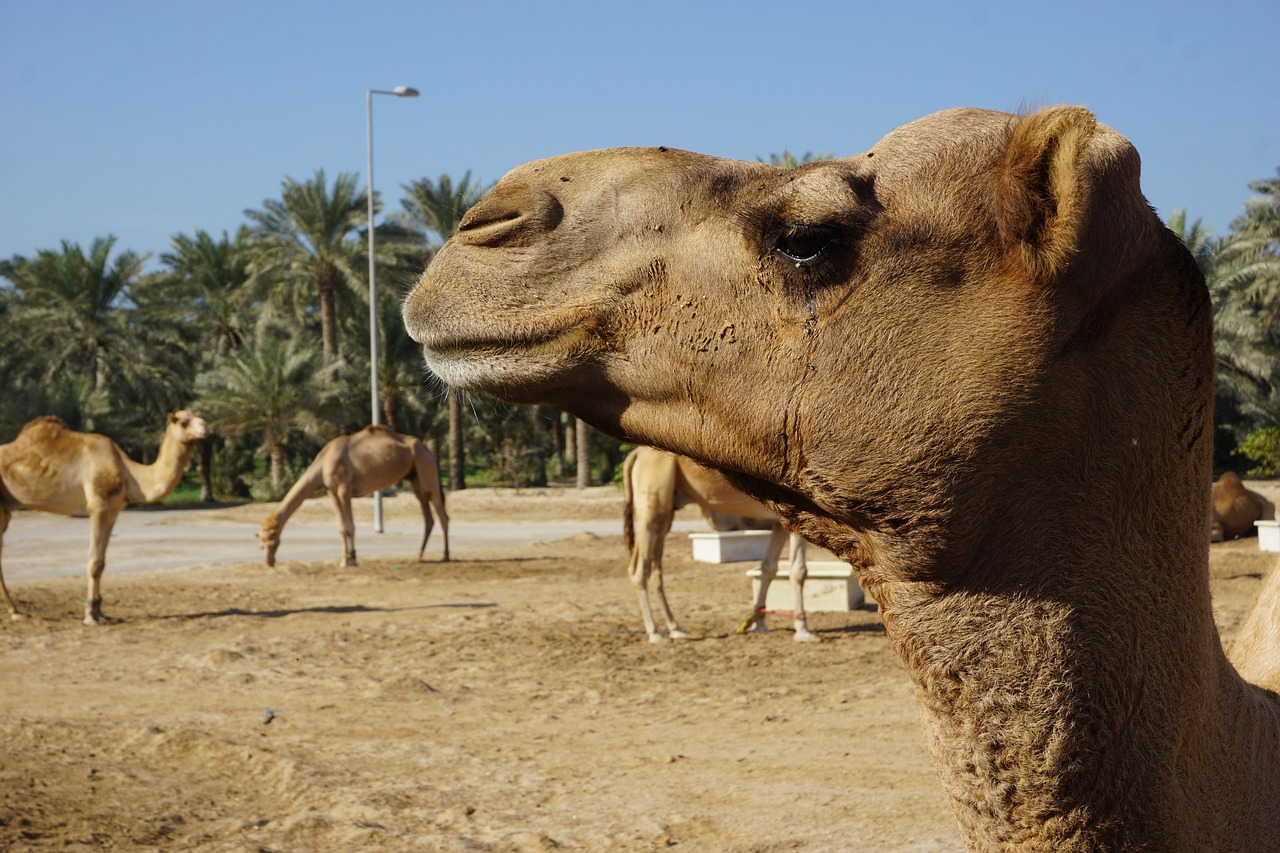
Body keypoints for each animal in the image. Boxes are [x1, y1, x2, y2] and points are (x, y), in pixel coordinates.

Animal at [0, 409, 208, 622]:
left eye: (199, 417)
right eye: (183, 422)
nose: (205, 427)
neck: (129, 473)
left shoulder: (112, 510)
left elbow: (102, 562)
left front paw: (100, 612)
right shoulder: (98, 507)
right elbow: (94, 562)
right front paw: (90, 616)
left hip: (5, 509)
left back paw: (15, 610)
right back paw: (15, 612)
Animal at [256, 422, 450, 563]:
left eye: (271, 540)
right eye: (261, 542)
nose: (269, 562)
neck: (322, 465)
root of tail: (428, 451)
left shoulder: (344, 488)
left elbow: (350, 527)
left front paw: (352, 559)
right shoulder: (332, 491)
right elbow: (342, 528)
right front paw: (345, 560)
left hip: (425, 467)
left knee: (442, 514)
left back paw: (445, 555)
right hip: (414, 475)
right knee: (428, 516)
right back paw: (419, 556)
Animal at [624, 445, 814, 637]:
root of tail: (637, 453)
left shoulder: (779, 523)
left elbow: (768, 568)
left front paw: (758, 624)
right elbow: (798, 570)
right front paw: (803, 630)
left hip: (665, 513)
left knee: (652, 569)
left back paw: (675, 628)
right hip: (652, 506)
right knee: (639, 569)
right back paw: (654, 632)